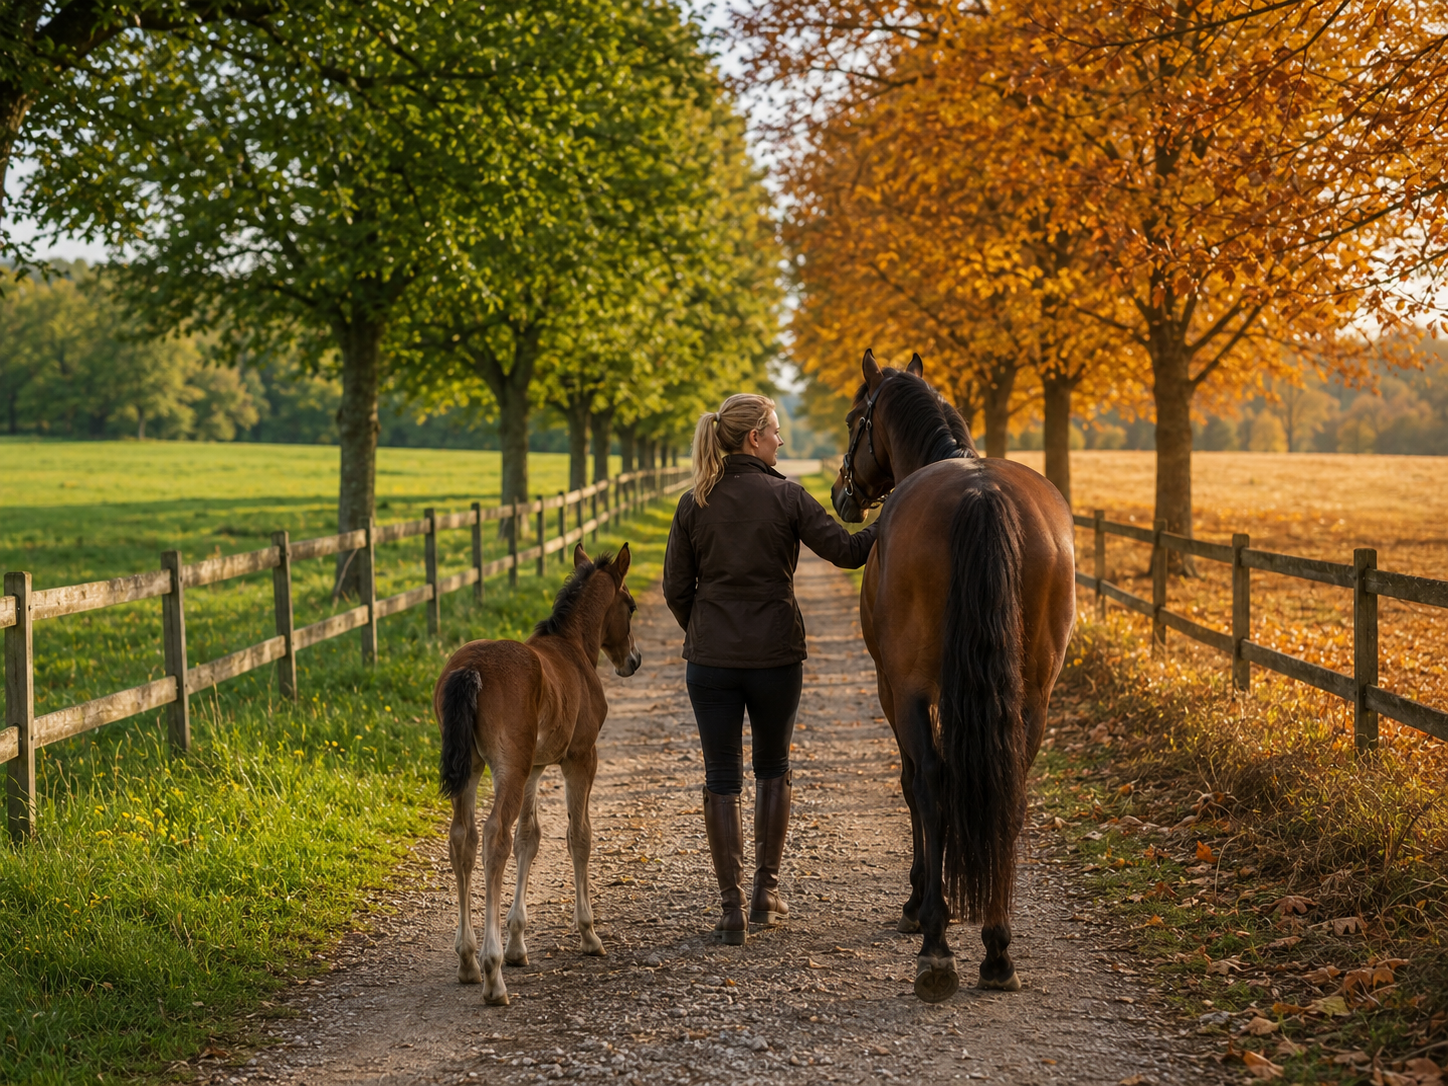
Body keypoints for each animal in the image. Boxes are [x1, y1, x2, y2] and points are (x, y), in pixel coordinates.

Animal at [435, 543, 641, 1006]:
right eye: (631, 606)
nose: (633, 661)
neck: (571, 649)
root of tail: (471, 667)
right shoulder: (581, 758)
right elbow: (578, 835)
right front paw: (588, 934)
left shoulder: (534, 767)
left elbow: (530, 839)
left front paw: (517, 944)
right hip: (506, 769)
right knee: (494, 836)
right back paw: (492, 974)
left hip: (475, 769)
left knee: (463, 838)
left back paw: (467, 959)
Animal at [831, 350, 1076, 1003]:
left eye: (853, 421)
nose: (840, 494)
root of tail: (981, 493)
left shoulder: (895, 689)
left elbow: (913, 783)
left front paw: (918, 902)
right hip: (1033, 695)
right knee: (1011, 788)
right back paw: (996, 946)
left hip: (913, 690)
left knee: (933, 782)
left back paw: (937, 947)